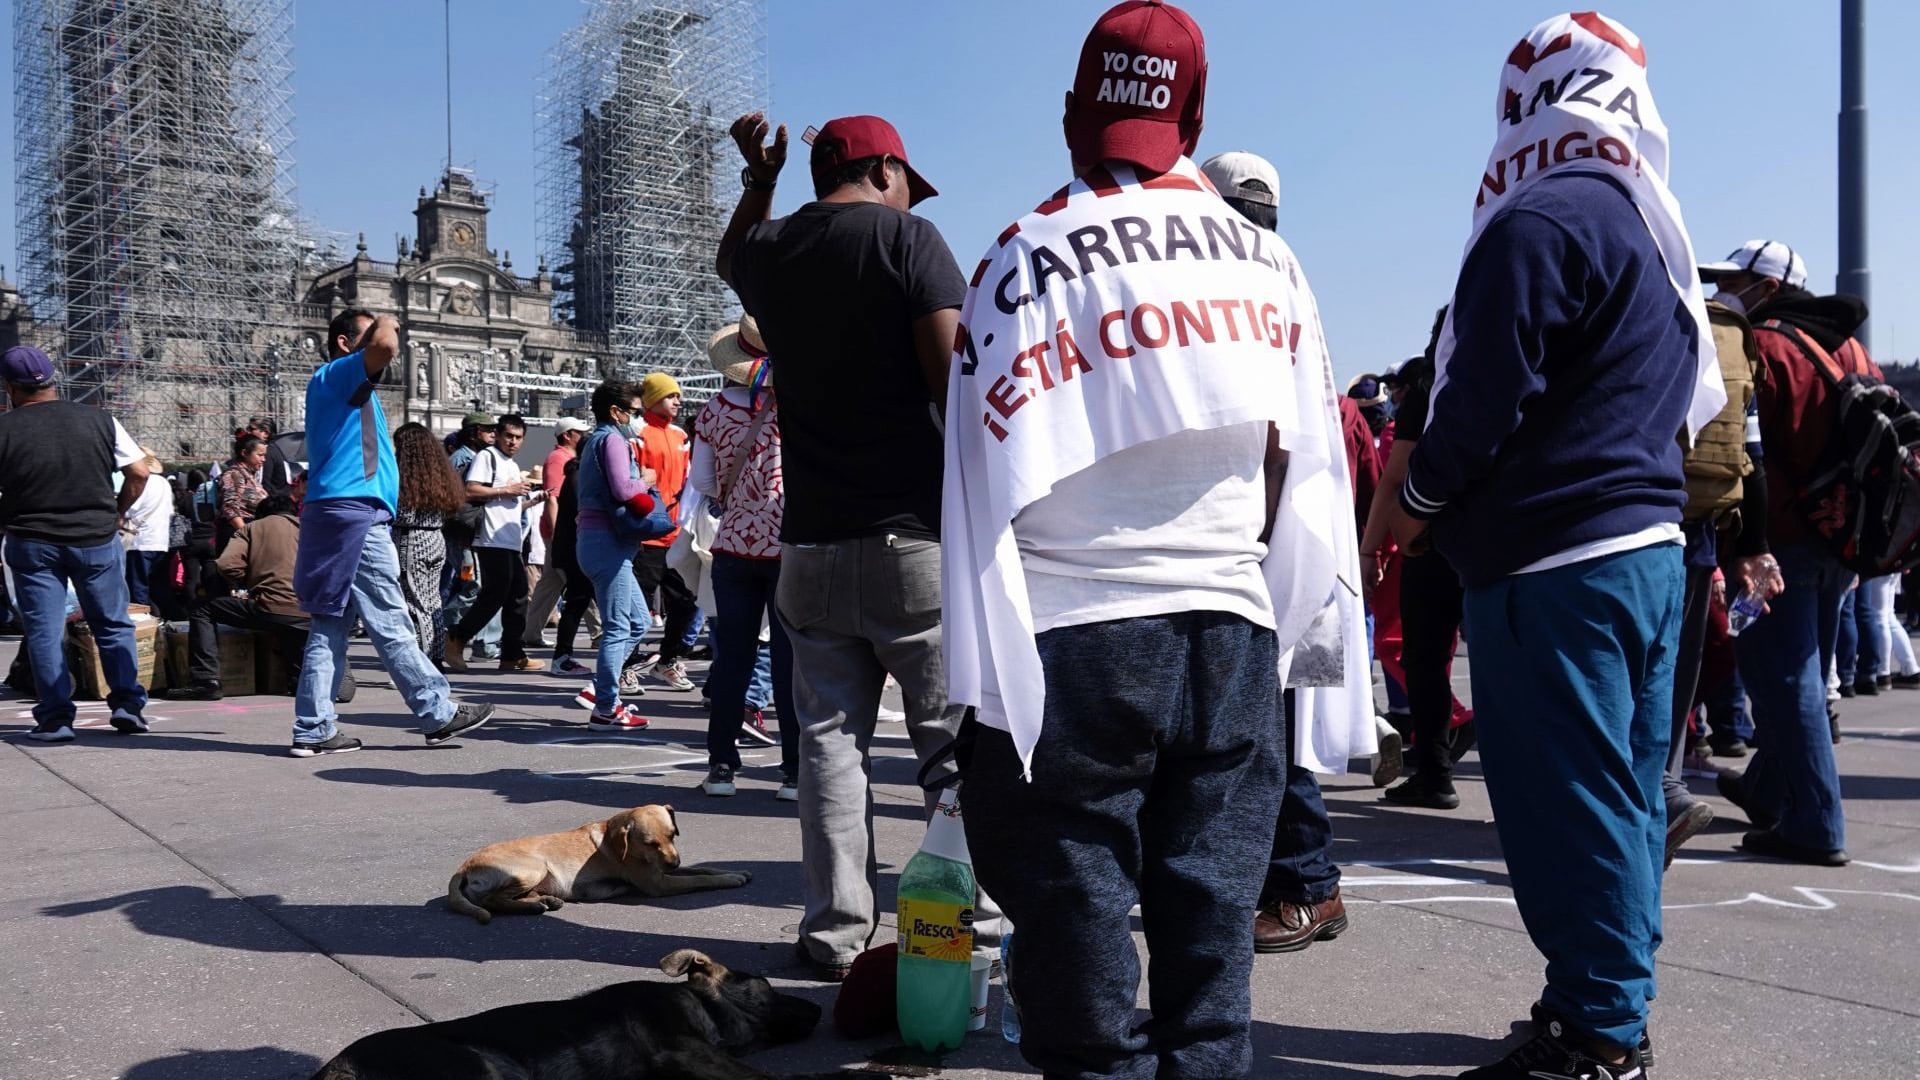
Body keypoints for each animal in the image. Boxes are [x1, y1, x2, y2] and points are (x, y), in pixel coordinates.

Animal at [449, 803, 748, 922]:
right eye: (650, 843)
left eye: (673, 835)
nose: (674, 863)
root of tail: (463, 866)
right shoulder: (658, 882)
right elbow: (700, 878)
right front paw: (729, 880)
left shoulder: (663, 870)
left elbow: (701, 868)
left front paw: (734, 871)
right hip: (534, 866)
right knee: (492, 901)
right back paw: (533, 906)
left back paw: (543, 901)